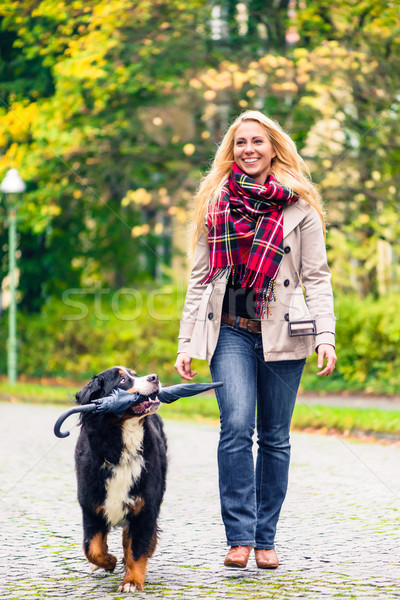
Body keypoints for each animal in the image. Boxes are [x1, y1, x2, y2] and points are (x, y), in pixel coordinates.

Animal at [74, 366, 166, 592]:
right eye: (122, 380)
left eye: (135, 374)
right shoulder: (91, 506)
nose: (154, 377)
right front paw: (109, 561)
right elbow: (92, 547)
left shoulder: (145, 506)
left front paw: (132, 581)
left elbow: (137, 548)